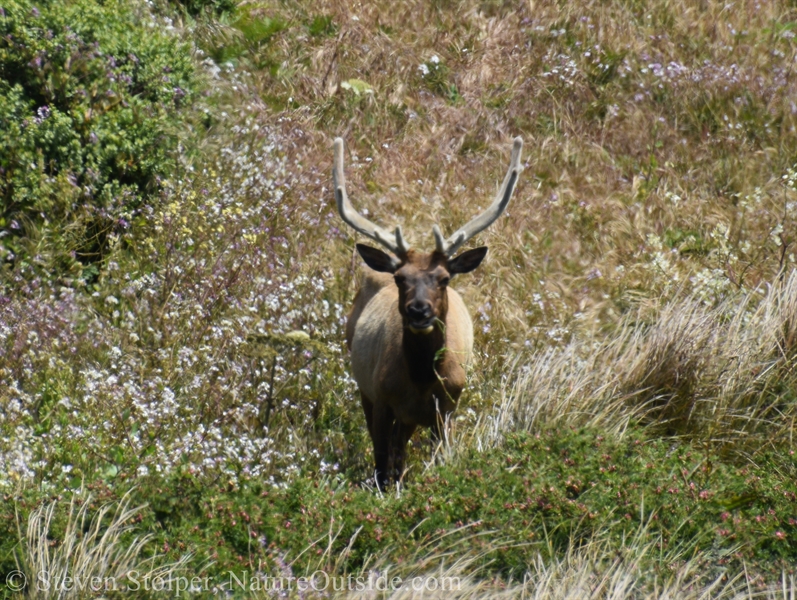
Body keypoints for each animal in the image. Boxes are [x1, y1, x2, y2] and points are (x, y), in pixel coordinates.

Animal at [332, 138, 524, 490]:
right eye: (400, 278)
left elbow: (434, 459)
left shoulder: (448, 405)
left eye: (444, 278)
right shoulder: (382, 398)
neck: (420, 382)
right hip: (366, 387)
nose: (418, 311)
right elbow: (380, 464)